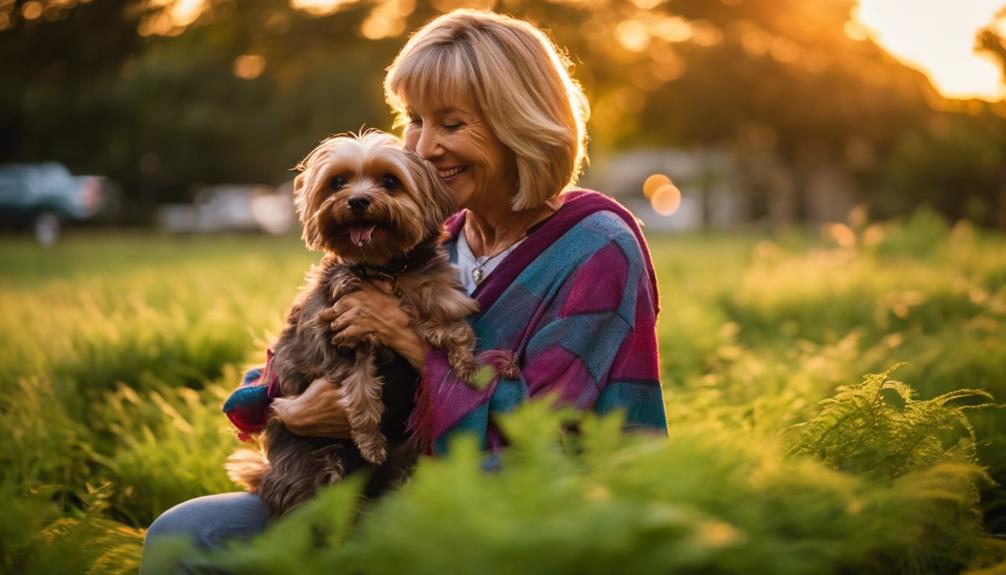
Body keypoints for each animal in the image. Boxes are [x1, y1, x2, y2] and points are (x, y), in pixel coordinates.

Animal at [228, 132, 478, 518]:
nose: (358, 200)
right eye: (337, 182)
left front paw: (467, 362)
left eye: (390, 181)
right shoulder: (339, 334)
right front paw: (370, 442)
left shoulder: (431, 294)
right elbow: (361, 390)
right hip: (313, 461)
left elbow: (451, 325)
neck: (385, 267)